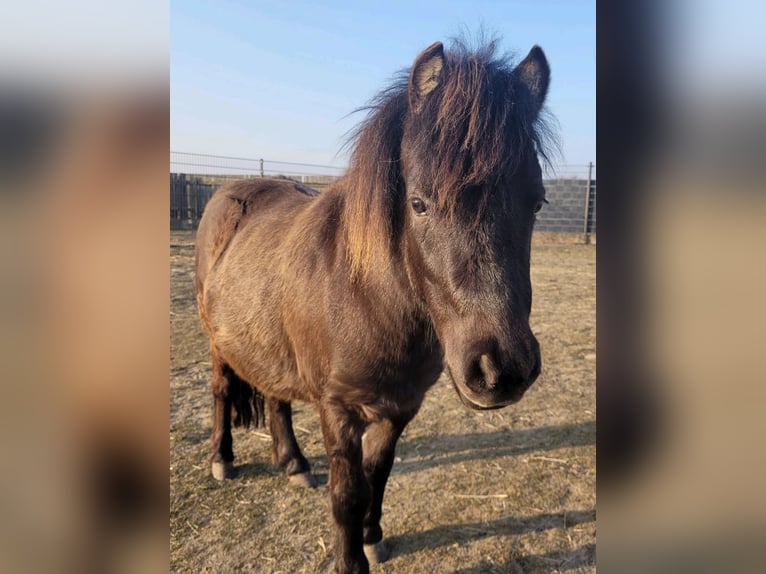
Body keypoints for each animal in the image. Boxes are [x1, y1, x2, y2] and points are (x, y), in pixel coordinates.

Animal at [195, 38, 554, 574]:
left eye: (536, 202)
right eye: (419, 203)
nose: (501, 369)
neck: (368, 301)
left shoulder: (400, 407)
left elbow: (377, 475)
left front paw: (372, 538)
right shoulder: (338, 409)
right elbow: (347, 493)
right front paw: (350, 560)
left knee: (276, 396)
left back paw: (294, 464)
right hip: (218, 344)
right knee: (221, 391)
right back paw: (223, 460)